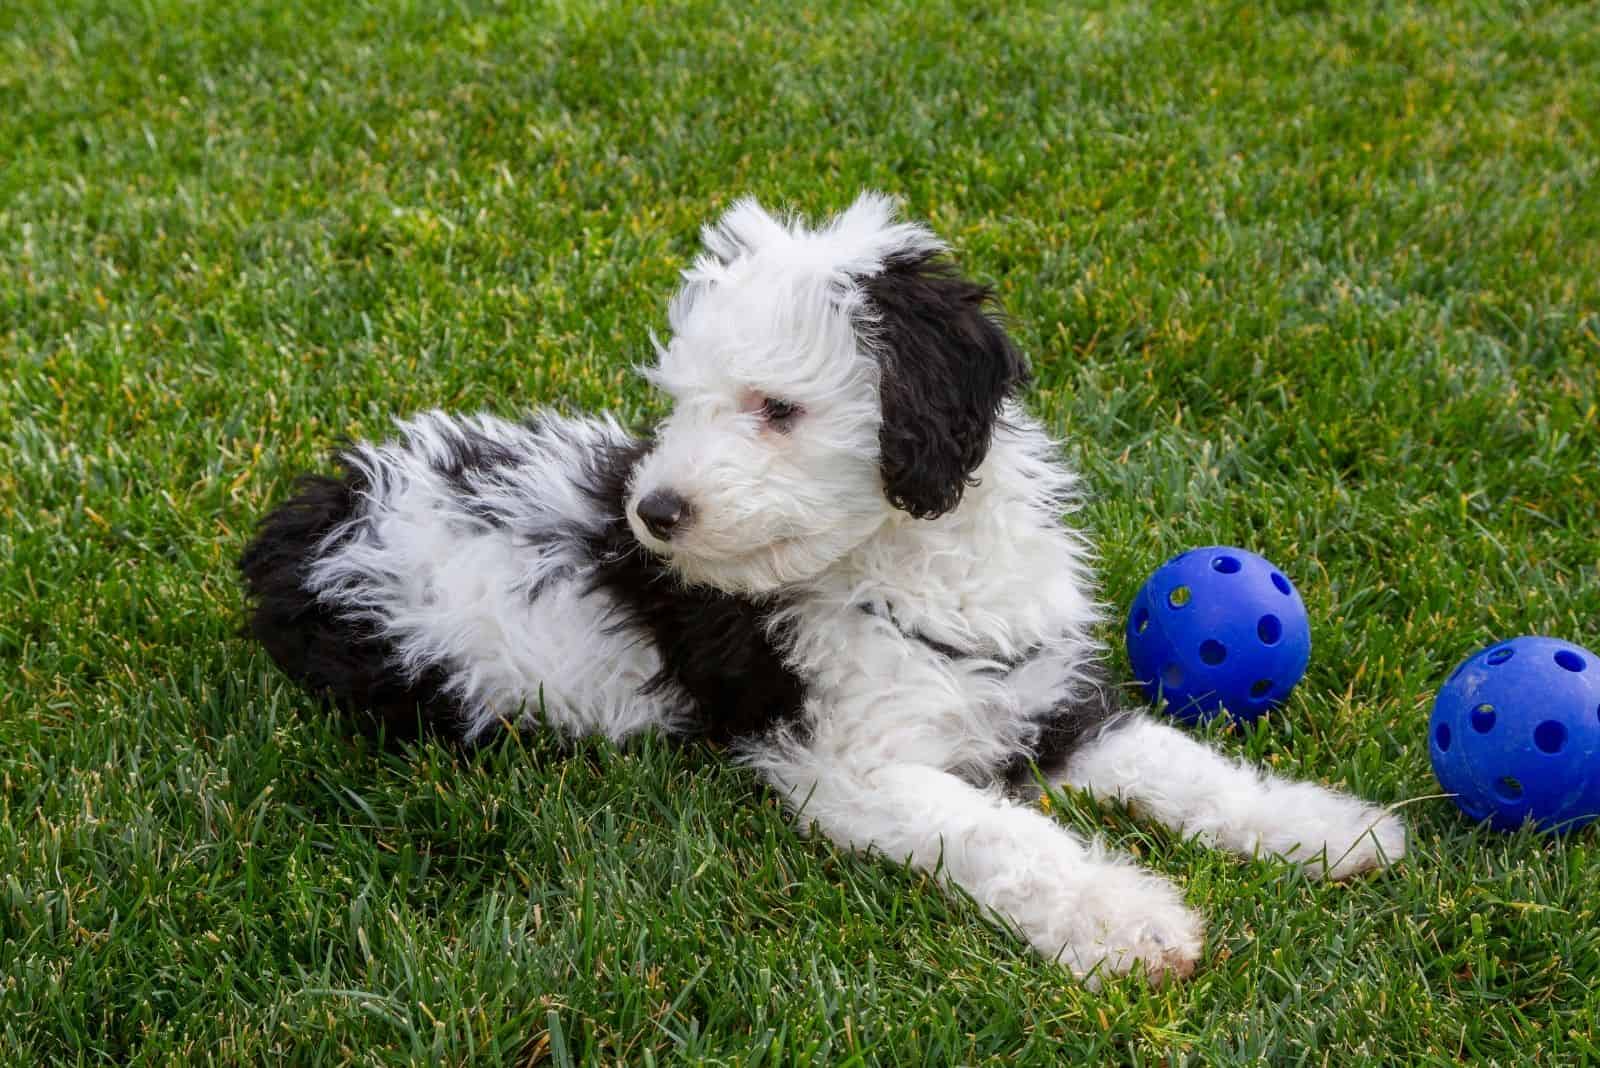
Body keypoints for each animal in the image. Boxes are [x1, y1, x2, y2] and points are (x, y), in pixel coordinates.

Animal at [236, 191, 1401, 984]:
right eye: (682, 402)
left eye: (778, 409)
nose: (651, 511)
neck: (897, 573)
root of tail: (322, 511)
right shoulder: (845, 762)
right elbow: (1003, 832)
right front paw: (1122, 919)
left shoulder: (1045, 701)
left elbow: (1183, 764)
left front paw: (1326, 829)